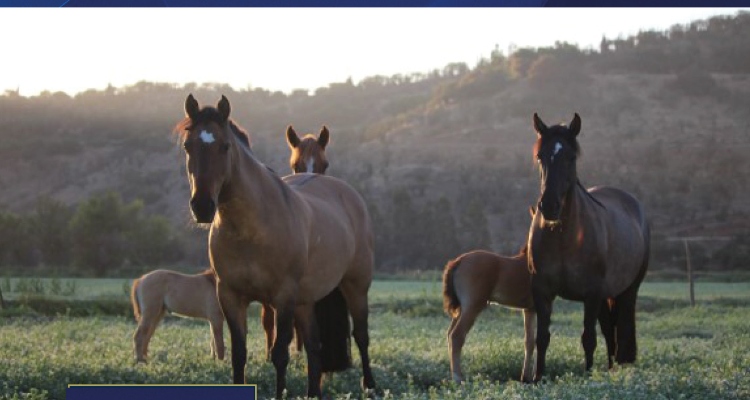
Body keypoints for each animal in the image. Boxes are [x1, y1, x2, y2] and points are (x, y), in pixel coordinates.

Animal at [175, 95, 376, 398]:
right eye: (188, 146)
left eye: (225, 146)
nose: (202, 207)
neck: (251, 231)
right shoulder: (231, 296)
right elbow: (239, 355)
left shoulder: (283, 297)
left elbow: (280, 354)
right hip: (305, 300)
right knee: (314, 346)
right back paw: (313, 393)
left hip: (355, 285)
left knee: (361, 336)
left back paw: (370, 386)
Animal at [444, 248, 536, 382]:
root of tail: (458, 261)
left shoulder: (530, 309)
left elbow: (529, 341)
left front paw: (526, 378)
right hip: (473, 307)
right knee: (456, 336)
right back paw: (458, 378)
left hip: (462, 309)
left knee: (450, 334)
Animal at [528, 112, 652, 382]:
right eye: (540, 156)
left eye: (571, 157)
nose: (549, 206)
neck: (563, 238)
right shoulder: (542, 291)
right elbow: (541, 338)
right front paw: (538, 378)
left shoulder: (592, 293)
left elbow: (588, 339)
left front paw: (587, 377)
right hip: (607, 295)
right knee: (610, 332)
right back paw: (610, 368)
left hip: (627, 290)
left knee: (621, 329)